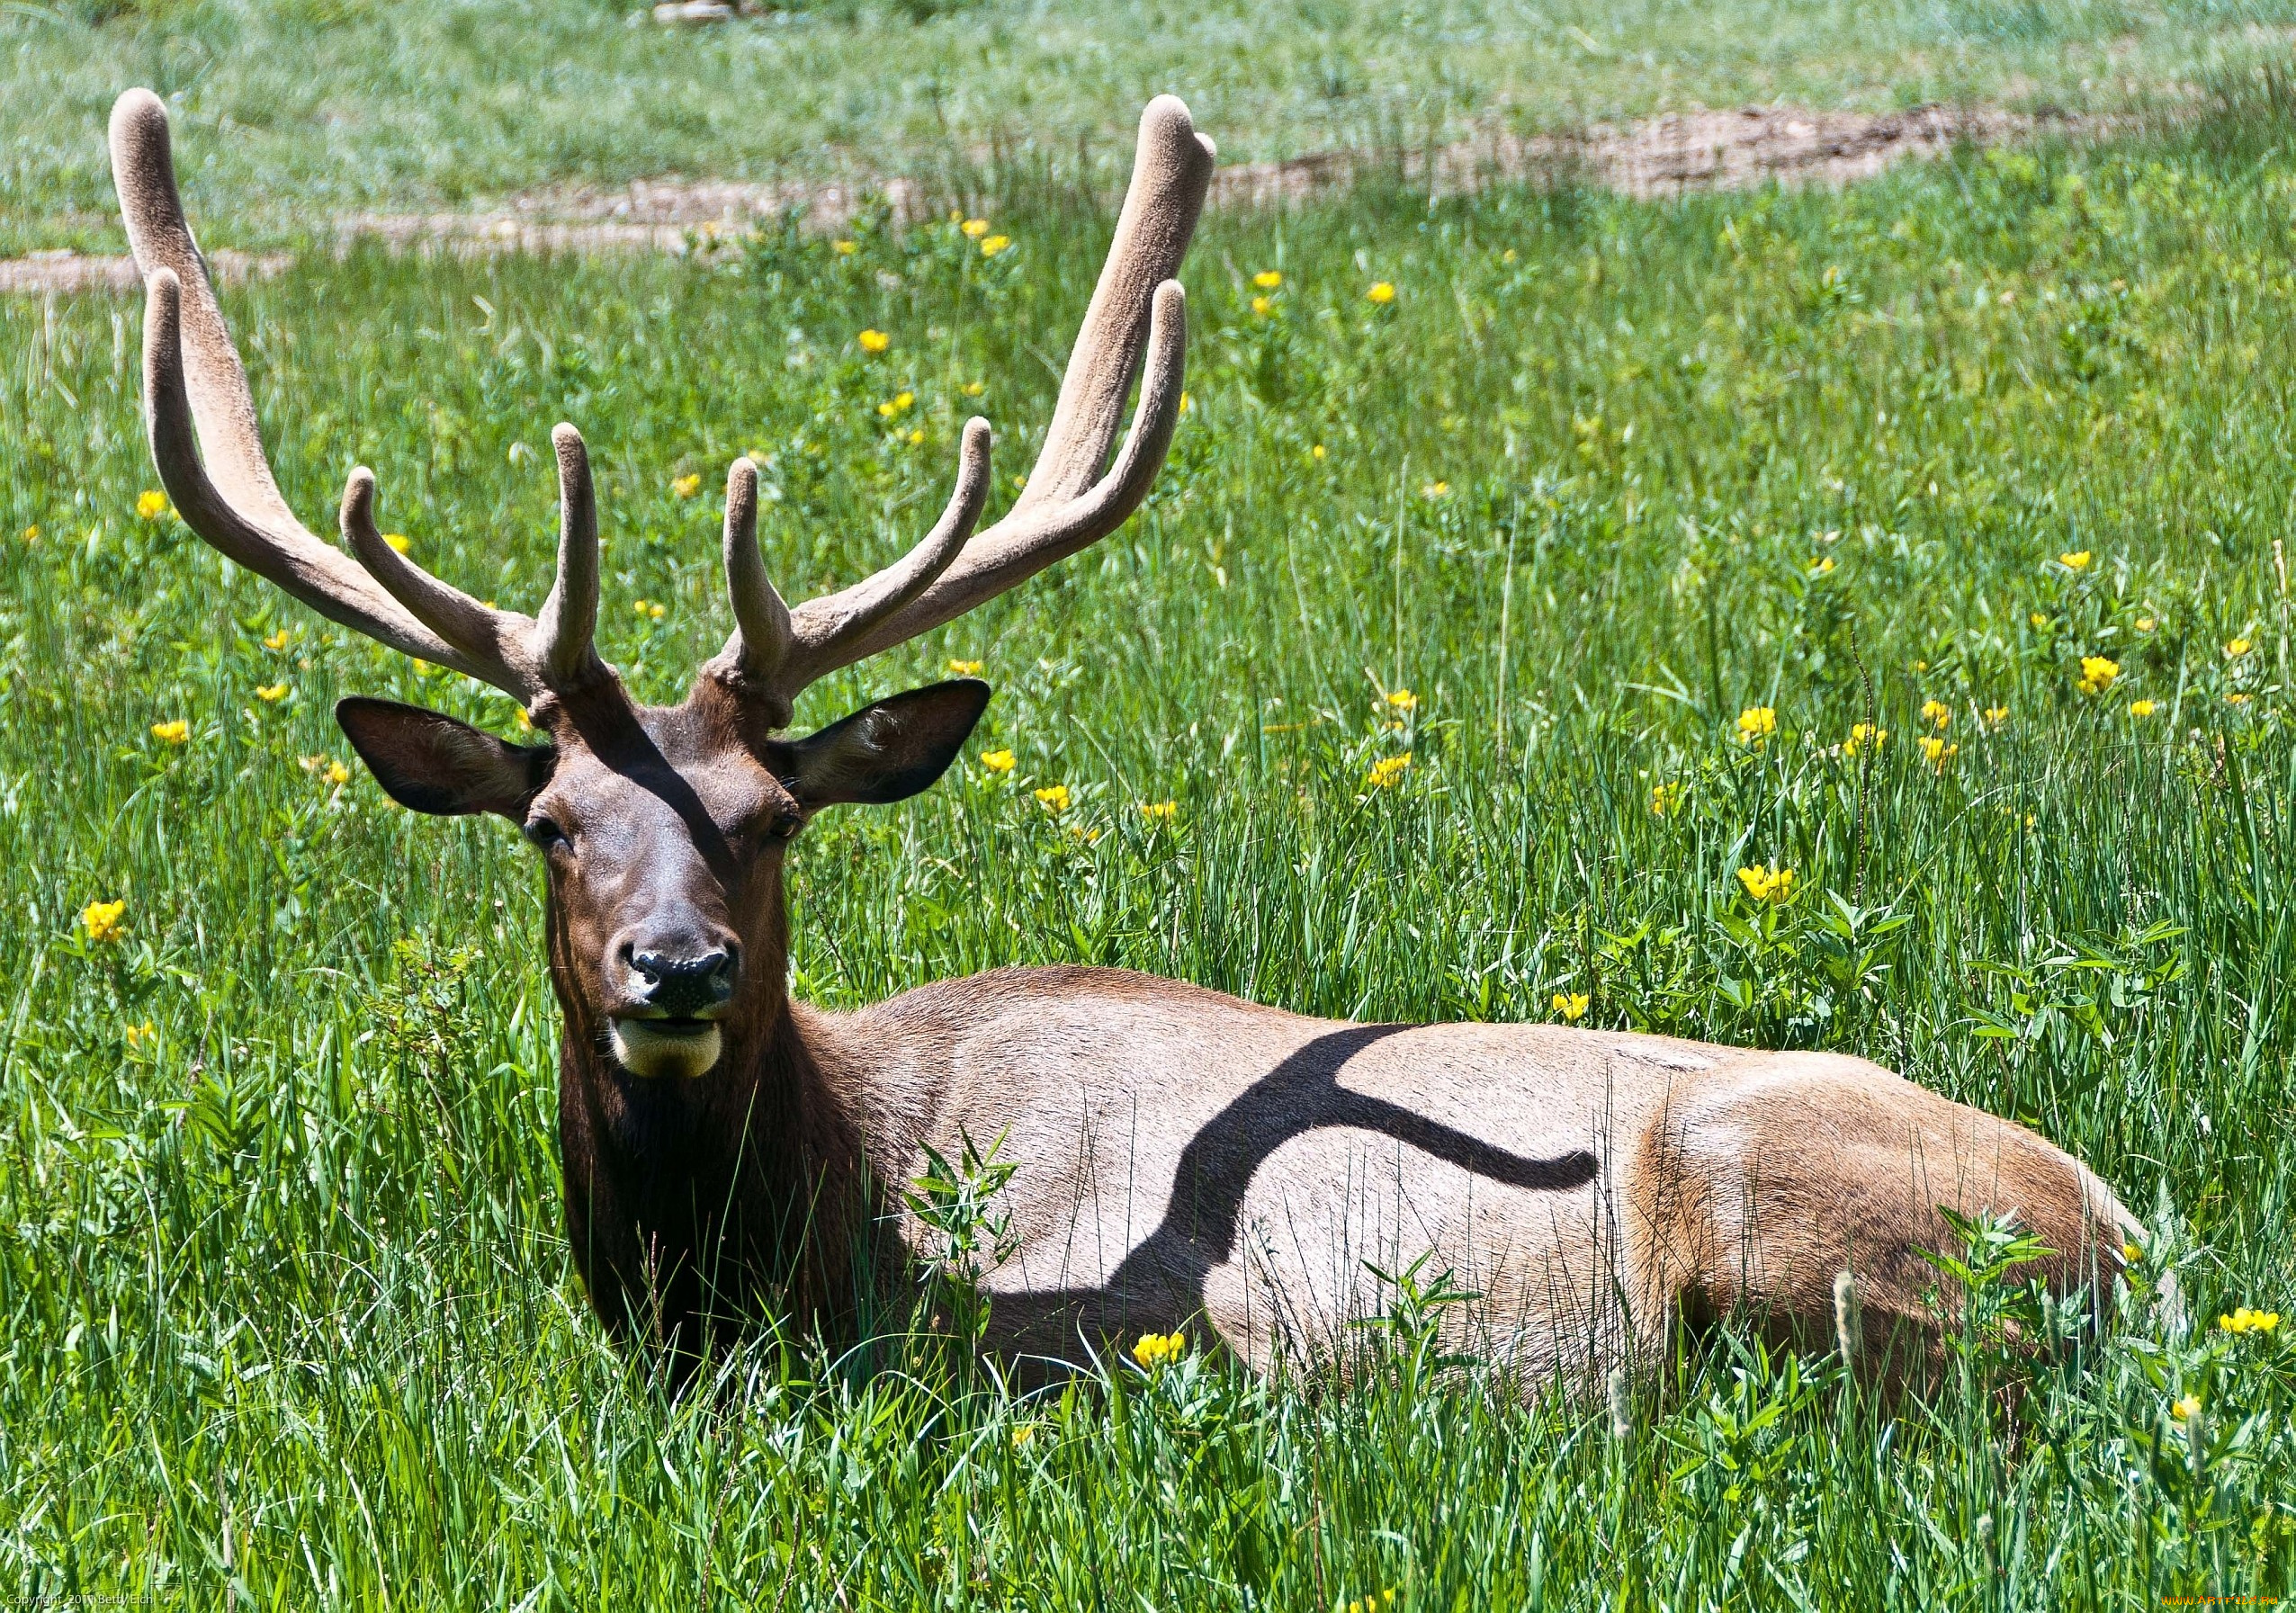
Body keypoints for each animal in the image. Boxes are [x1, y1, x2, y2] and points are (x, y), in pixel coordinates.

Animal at [107, 82, 2139, 1385]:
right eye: (552, 825)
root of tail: (2128, 1240)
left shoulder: (1124, 1337)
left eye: (773, 814)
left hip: (1792, 1231)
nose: (673, 968)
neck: (799, 1254)